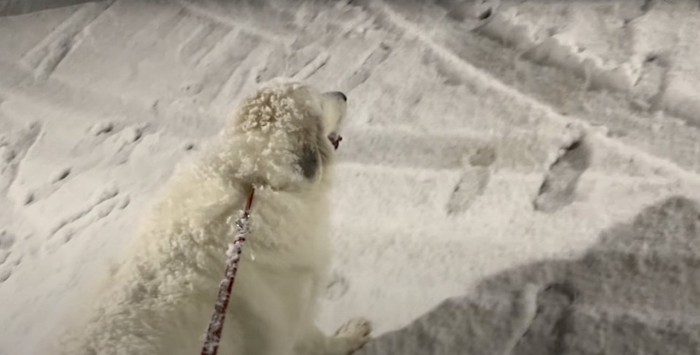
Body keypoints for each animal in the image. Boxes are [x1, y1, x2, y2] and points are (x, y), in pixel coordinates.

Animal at [56, 80, 372, 355]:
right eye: (319, 100)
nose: (344, 94)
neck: (254, 178)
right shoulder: (292, 319)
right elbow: (319, 341)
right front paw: (350, 336)